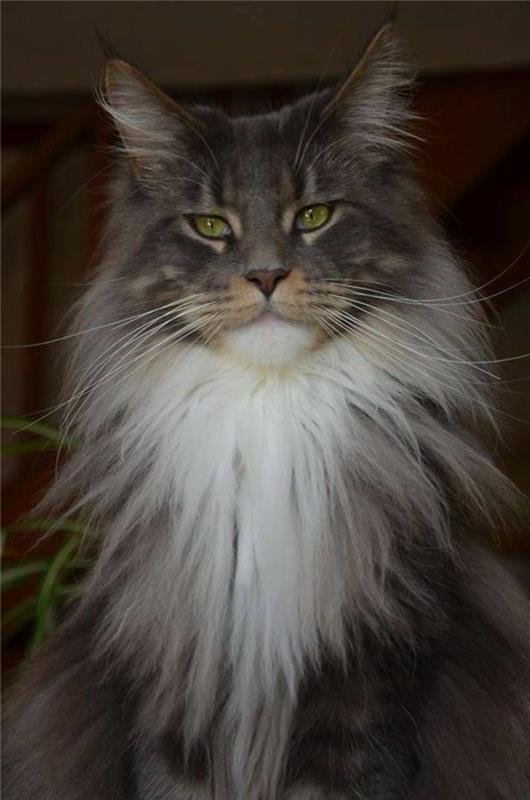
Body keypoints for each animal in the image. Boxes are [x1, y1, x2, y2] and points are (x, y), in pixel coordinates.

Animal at [4, 25, 528, 800]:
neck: (268, 411)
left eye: (312, 216)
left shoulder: (371, 673)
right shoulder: (173, 668)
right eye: (210, 225)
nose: (265, 274)